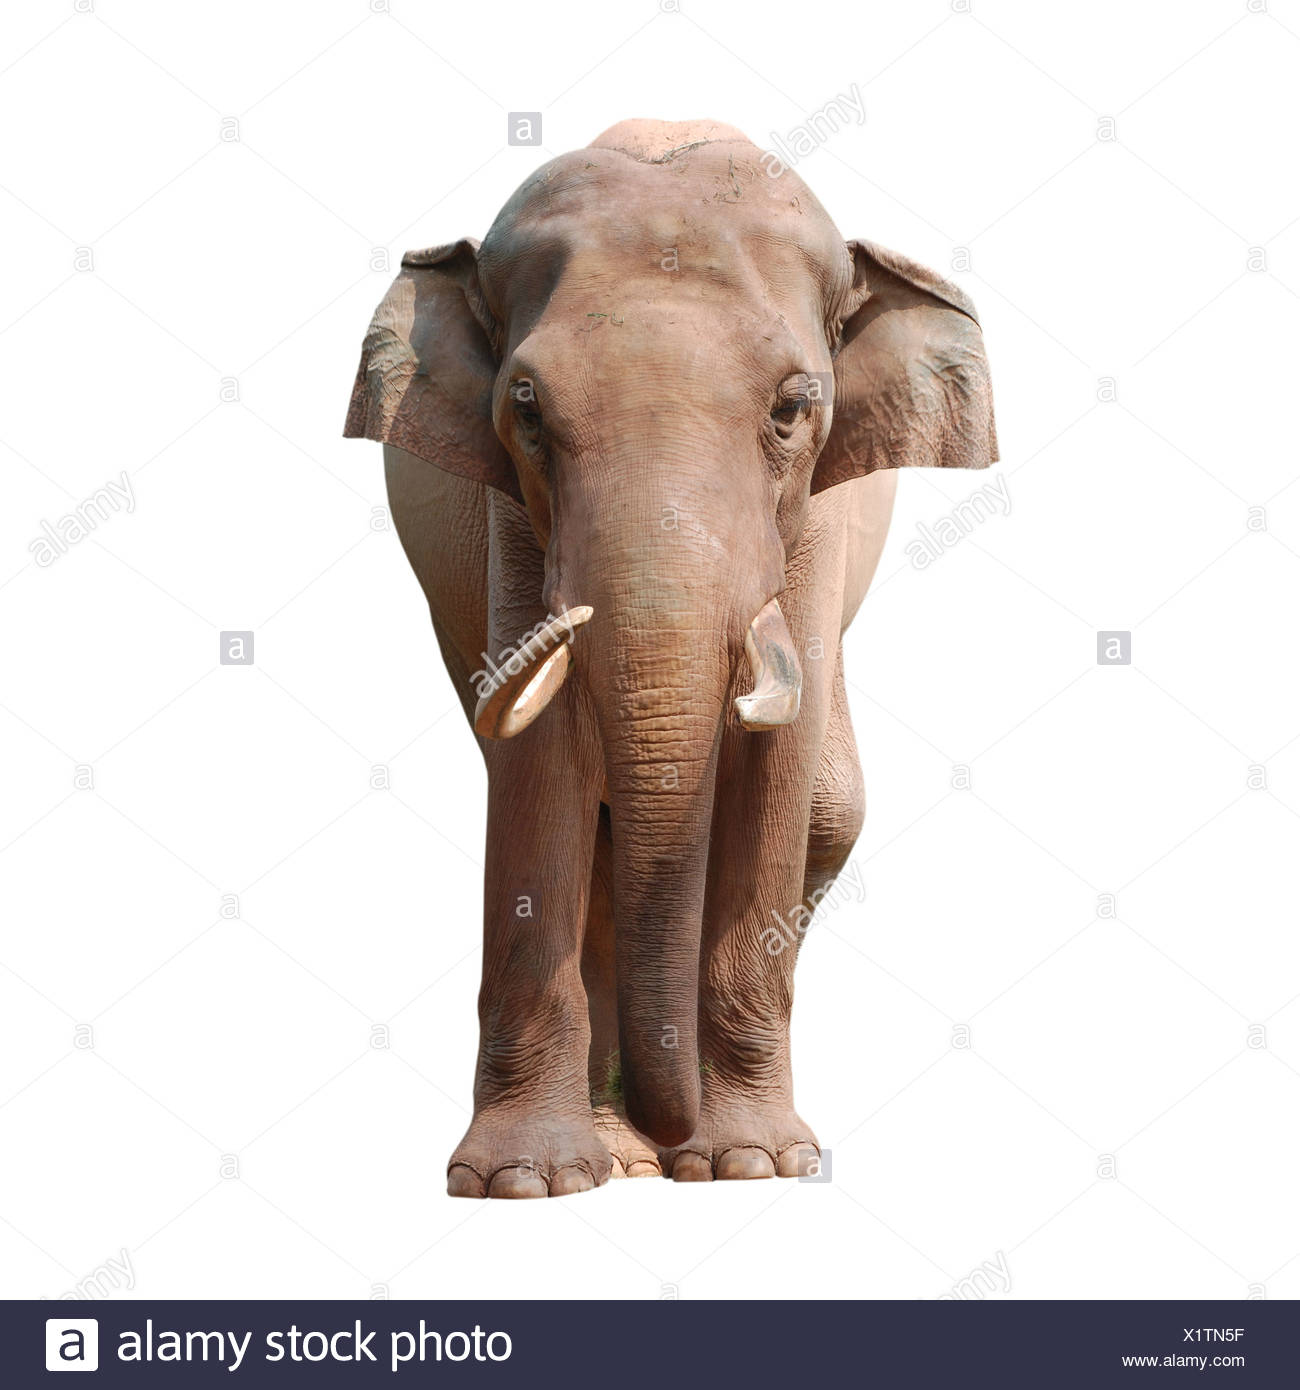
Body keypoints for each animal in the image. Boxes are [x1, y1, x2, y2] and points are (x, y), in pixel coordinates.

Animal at [344, 118, 996, 1198]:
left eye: (792, 408)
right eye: (525, 409)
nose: (673, 1132)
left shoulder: (817, 523)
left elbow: (779, 768)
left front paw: (755, 1162)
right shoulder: (512, 522)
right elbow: (539, 764)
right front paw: (523, 1181)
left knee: (831, 806)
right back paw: (619, 1154)